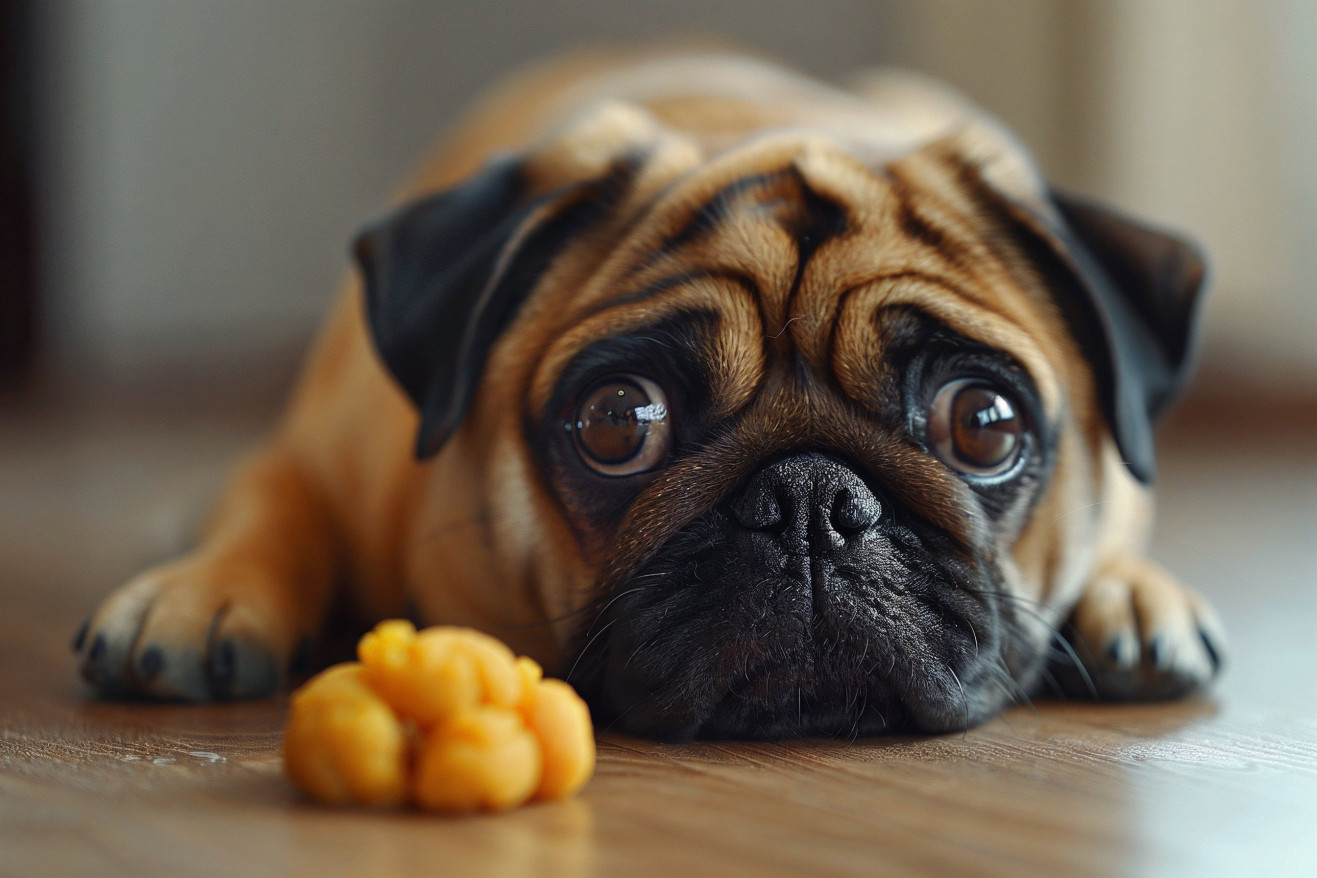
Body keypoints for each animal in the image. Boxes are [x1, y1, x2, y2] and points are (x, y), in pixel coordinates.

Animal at [77, 49, 1216, 742]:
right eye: (619, 423)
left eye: (980, 425)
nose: (811, 500)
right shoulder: (317, 453)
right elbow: (275, 500)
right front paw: (200, 590)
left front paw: (1132, 590)